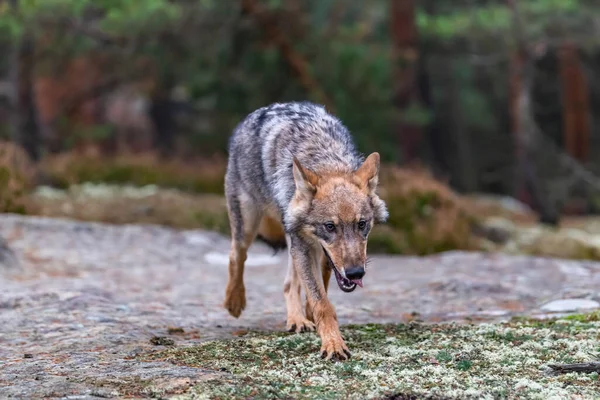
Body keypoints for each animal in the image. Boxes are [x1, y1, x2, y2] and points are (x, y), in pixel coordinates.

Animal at [223, 101, 386, 360]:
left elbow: (320, 291)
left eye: (362, 224)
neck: (326, 159)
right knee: (236, 255)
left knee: (289, 283)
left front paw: (312, 318)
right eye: (330, 226)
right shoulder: (304, 245)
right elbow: (322, 302)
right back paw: (235, 301)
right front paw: (333, 345)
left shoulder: (321, 254)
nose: (355, 273)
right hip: (248, 227)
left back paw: (297, 320)